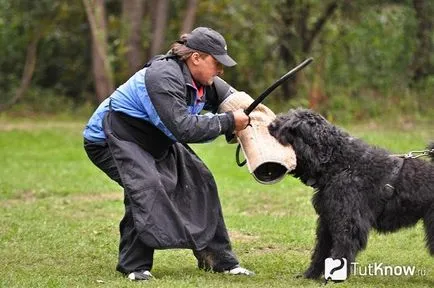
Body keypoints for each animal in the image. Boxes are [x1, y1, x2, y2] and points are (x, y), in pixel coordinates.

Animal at [268, 108, 434, 280]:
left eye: (293, 127)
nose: (271, 125)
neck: (340, 162)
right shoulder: (328, 221)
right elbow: (321, 252)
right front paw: (310, 275)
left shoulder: (348, 223)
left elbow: (341, 251)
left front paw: (332, 279)